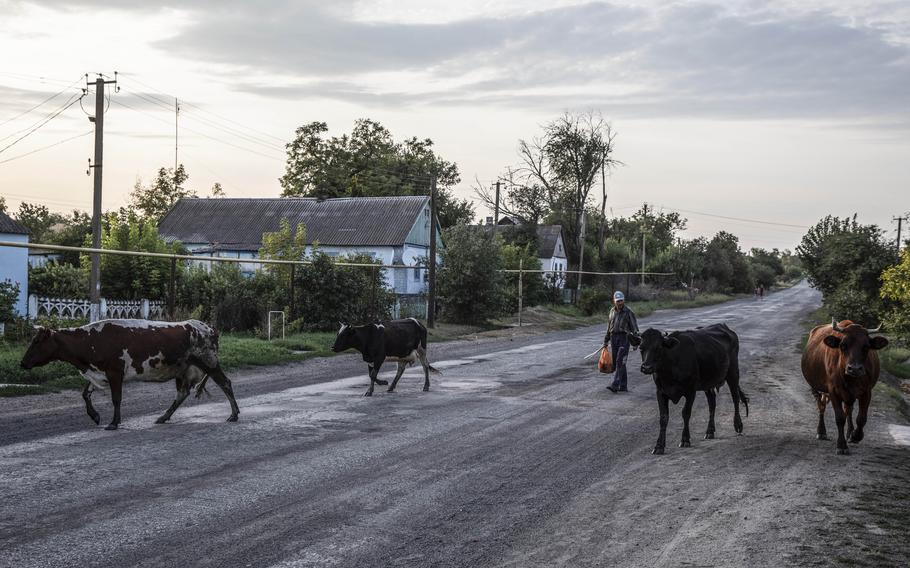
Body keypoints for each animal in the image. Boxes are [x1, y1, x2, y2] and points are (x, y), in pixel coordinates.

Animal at [21, 320, 242, 430]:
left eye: (37, 341)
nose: (22, 363)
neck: (91, 340)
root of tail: (207, 326)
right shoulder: (98, 371)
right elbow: (86, 393)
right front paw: (95, 416)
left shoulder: (114, 371)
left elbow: (116, 398)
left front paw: (113, 422)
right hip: (184, 368)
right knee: (182, 393)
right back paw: (163, 417)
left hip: (209, 362)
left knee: (225, 383)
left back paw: (234, 414)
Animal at [632, 322, 752, 454]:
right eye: (641, 348)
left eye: (658, 348)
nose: (646, 367)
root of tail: (723, 326)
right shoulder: (660, 392)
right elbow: (663, 418)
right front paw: (659, 446)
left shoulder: (690, 391)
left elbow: (686, 413)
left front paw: (685, 439)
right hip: (708, 383)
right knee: (712, 403)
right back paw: (710, 431)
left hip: (733, 372)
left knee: (735, 397)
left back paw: (738, 425)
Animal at [804, 320, 892, 452]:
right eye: (843, 346)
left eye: (866, 347)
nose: (854, 369)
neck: (851, 379)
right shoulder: (833, 391)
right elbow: (840, 418)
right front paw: (841, 445)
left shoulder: (866, 392)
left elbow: (861, 418)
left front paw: (855, 436)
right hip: (815, 388)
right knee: (821, 406)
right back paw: (821, 431)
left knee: (848, 410)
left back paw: (849, 432)